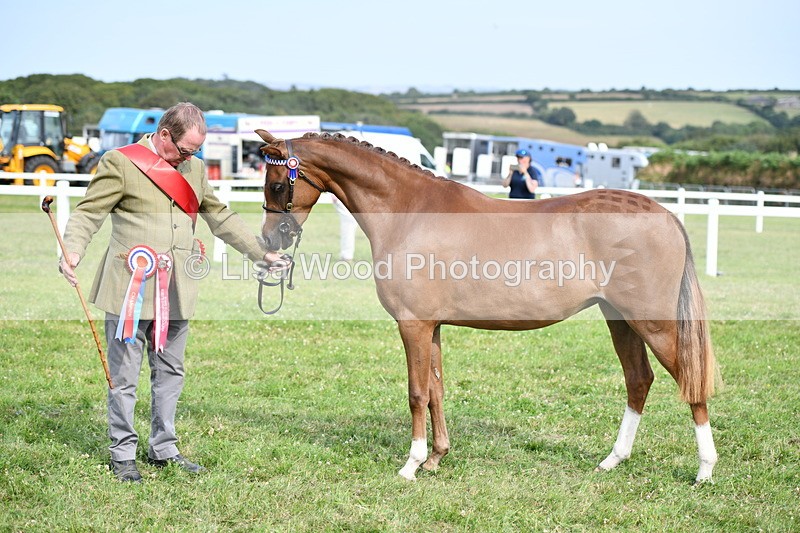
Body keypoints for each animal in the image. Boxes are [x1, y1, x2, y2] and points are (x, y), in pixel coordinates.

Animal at [255, 129, 719, 483]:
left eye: (277, 184)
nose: (270, 240)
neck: (411, 211)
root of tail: (664, 214)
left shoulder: (413, 325)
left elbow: (416, 393)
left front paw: (411, 464)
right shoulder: (432, 326)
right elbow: (437, 390)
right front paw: (436, 457)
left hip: (652, 323)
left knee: (688, 380)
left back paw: (704, 470)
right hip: (619, 319)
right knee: (638, 380)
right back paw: (612, 460)